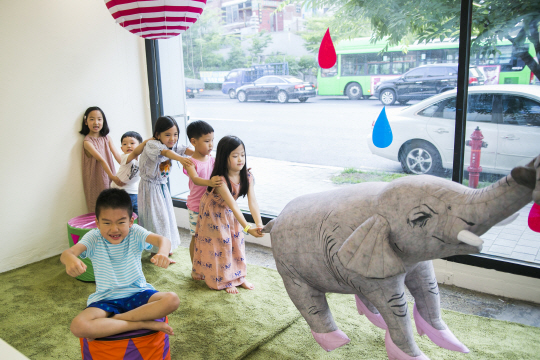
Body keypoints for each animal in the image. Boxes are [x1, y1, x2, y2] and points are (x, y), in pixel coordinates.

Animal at [262, 156, 540, 358]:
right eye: (421, 218)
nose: (527, 171)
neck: (376, 204)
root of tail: (274, 221)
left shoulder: (409, 258)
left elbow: (430, 289)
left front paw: (455, 345)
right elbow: (397, 307)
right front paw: (413, 355)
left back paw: (373, 320)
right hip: (288, 265)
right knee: (308, 300)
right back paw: (336, 342)